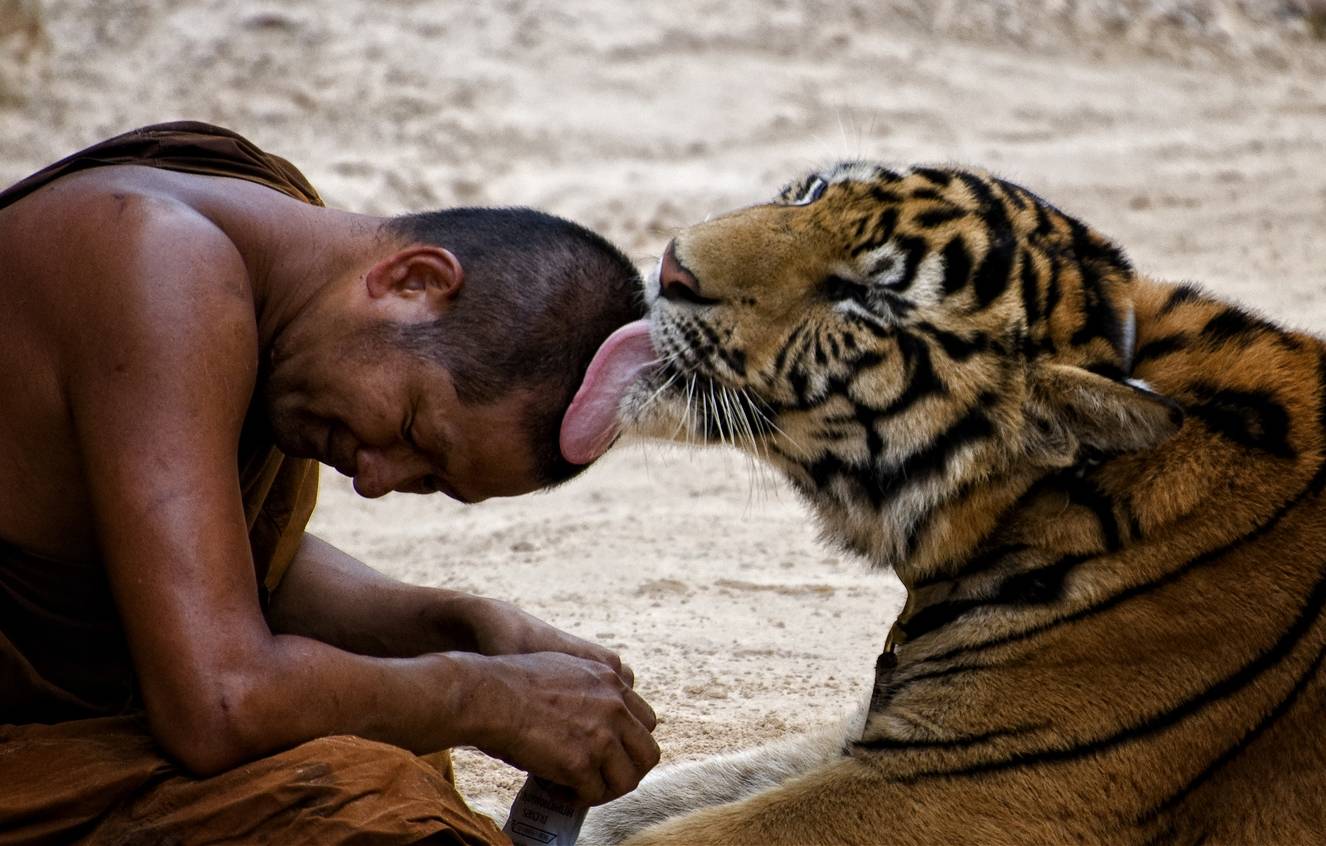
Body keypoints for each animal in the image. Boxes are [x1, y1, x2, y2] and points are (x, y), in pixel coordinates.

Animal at [575, 162, 1326, 844]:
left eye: (863, 299)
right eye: (811, 193)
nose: (670, 264)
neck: (1027, 506)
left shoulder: (957, 784)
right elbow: (645, 804)